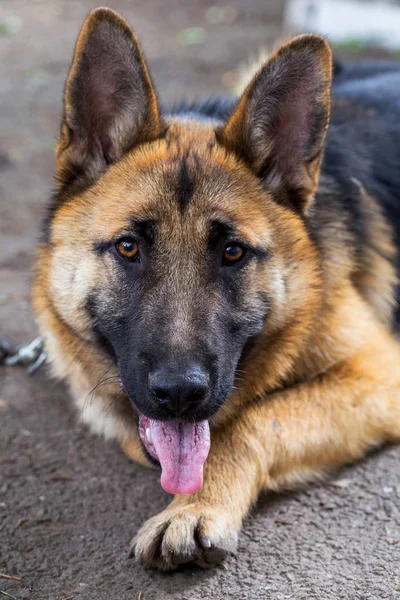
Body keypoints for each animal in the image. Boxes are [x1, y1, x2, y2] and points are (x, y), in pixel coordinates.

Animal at [32, 7, 400, 568]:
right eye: (128, 248)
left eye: (232, 252)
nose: (180, 395)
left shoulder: (377, 374)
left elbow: (250, 421)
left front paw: (194, 507)